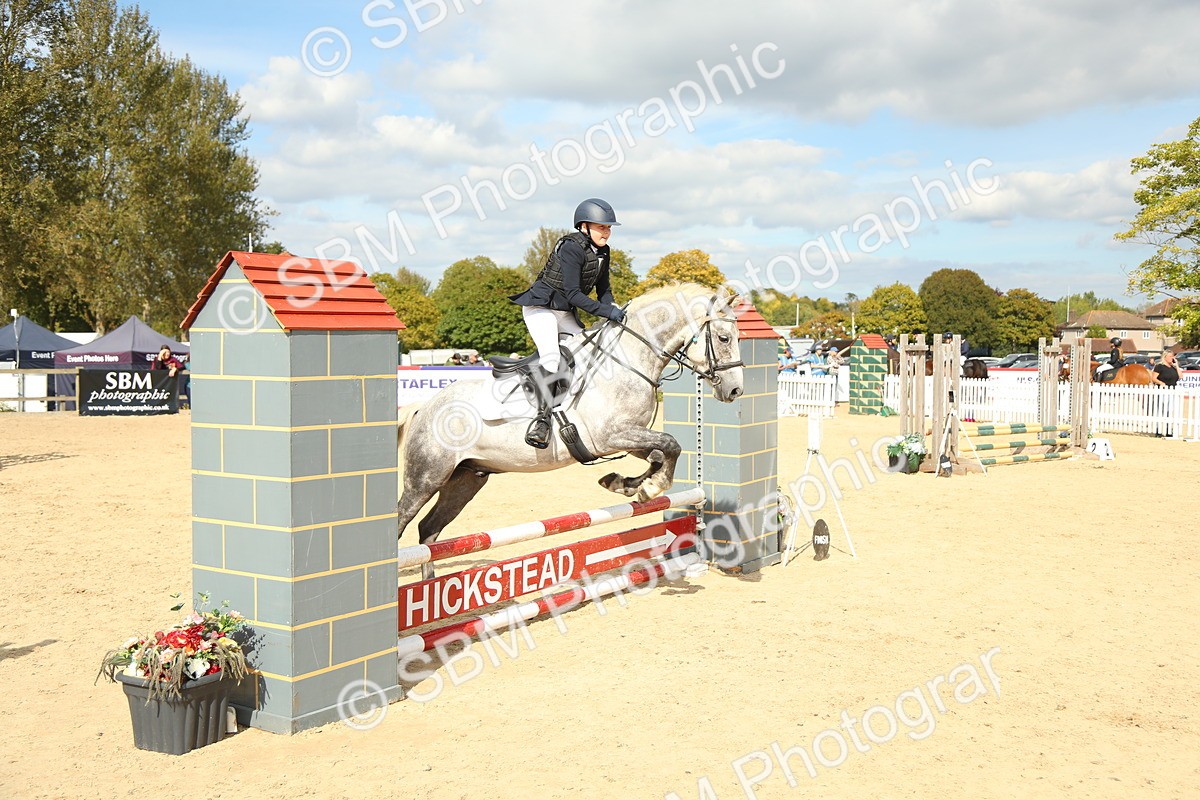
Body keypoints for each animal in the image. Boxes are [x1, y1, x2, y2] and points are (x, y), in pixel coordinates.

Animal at [396, 283, 745, 577]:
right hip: (426, 477)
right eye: (725, 338)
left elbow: (662, 452)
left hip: (465, 480)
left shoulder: (627, 438)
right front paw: (648, 488)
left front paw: (624, 484)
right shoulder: (611, 435)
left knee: (429, 529)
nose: (735, 391)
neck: (629, 360)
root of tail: (424, 406)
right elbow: (670, 445)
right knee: (403, 518)